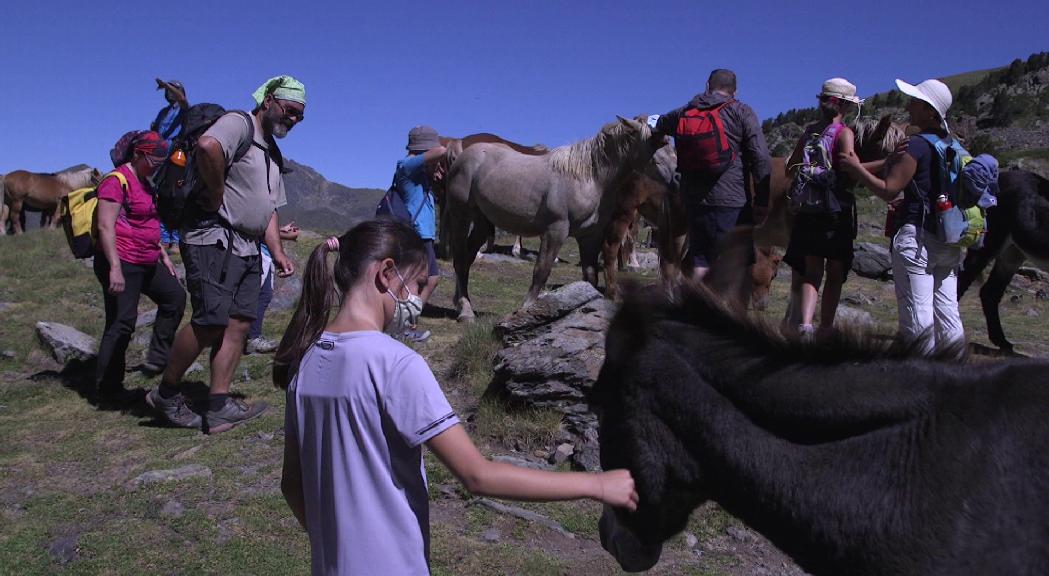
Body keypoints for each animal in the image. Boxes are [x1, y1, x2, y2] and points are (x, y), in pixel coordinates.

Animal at [442, 113, 662, 316]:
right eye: (655, 141)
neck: (586, 178)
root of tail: (462, 151)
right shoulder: (555, 230)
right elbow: (542, 269)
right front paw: (527, 307)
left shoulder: (589, 235)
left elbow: (590, 274)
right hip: (461, 215)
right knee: (460, 258)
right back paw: (465, 310)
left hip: (481, 221)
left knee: (467, 258)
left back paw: (461, 302)